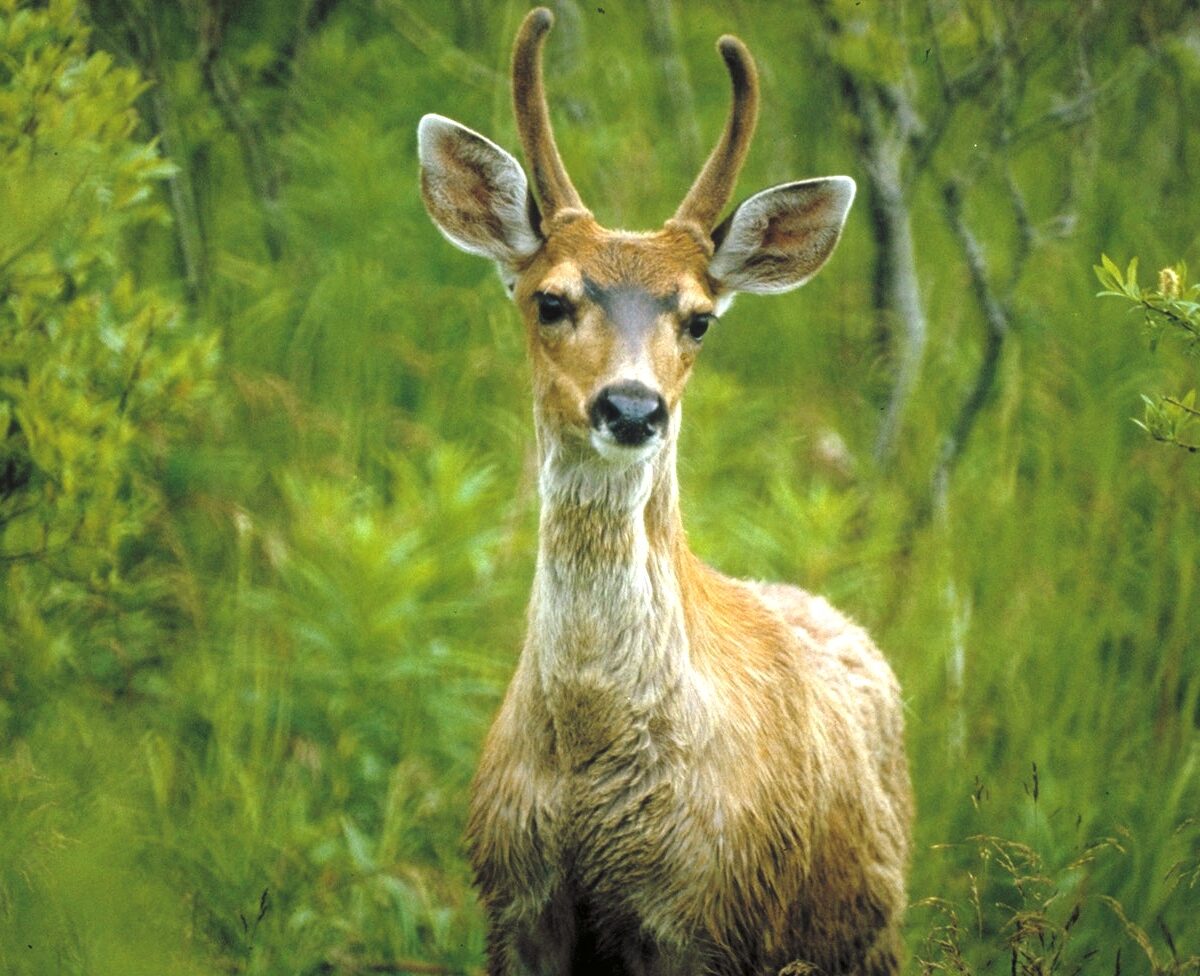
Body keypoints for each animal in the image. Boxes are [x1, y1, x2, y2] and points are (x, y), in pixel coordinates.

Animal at [417, 8, 912, 976]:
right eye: (550, 300)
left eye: (700, 318)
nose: (633, 407)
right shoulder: (515, 900)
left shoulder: (711, 917)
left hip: (871, 937)